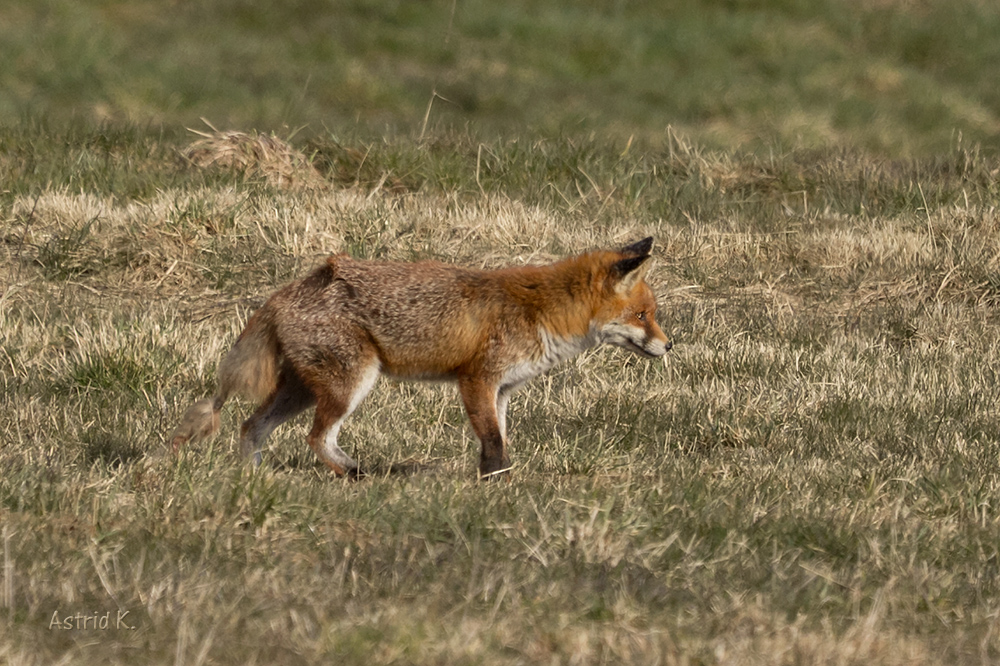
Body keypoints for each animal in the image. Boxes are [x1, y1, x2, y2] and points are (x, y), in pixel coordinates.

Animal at [170, 237, 672, 478]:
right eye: (643, 315)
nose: (669, 346)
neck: (542, 311)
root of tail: (288, 290)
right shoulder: (476, 380)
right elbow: (493, 443)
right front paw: (500, 486)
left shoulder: (502, 390)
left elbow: (497, 443)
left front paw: (493, 483)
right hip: (352, 383)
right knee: (315, 438)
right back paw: (357, 474)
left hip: (302, 391)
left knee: (251, 426)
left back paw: (252, 478)